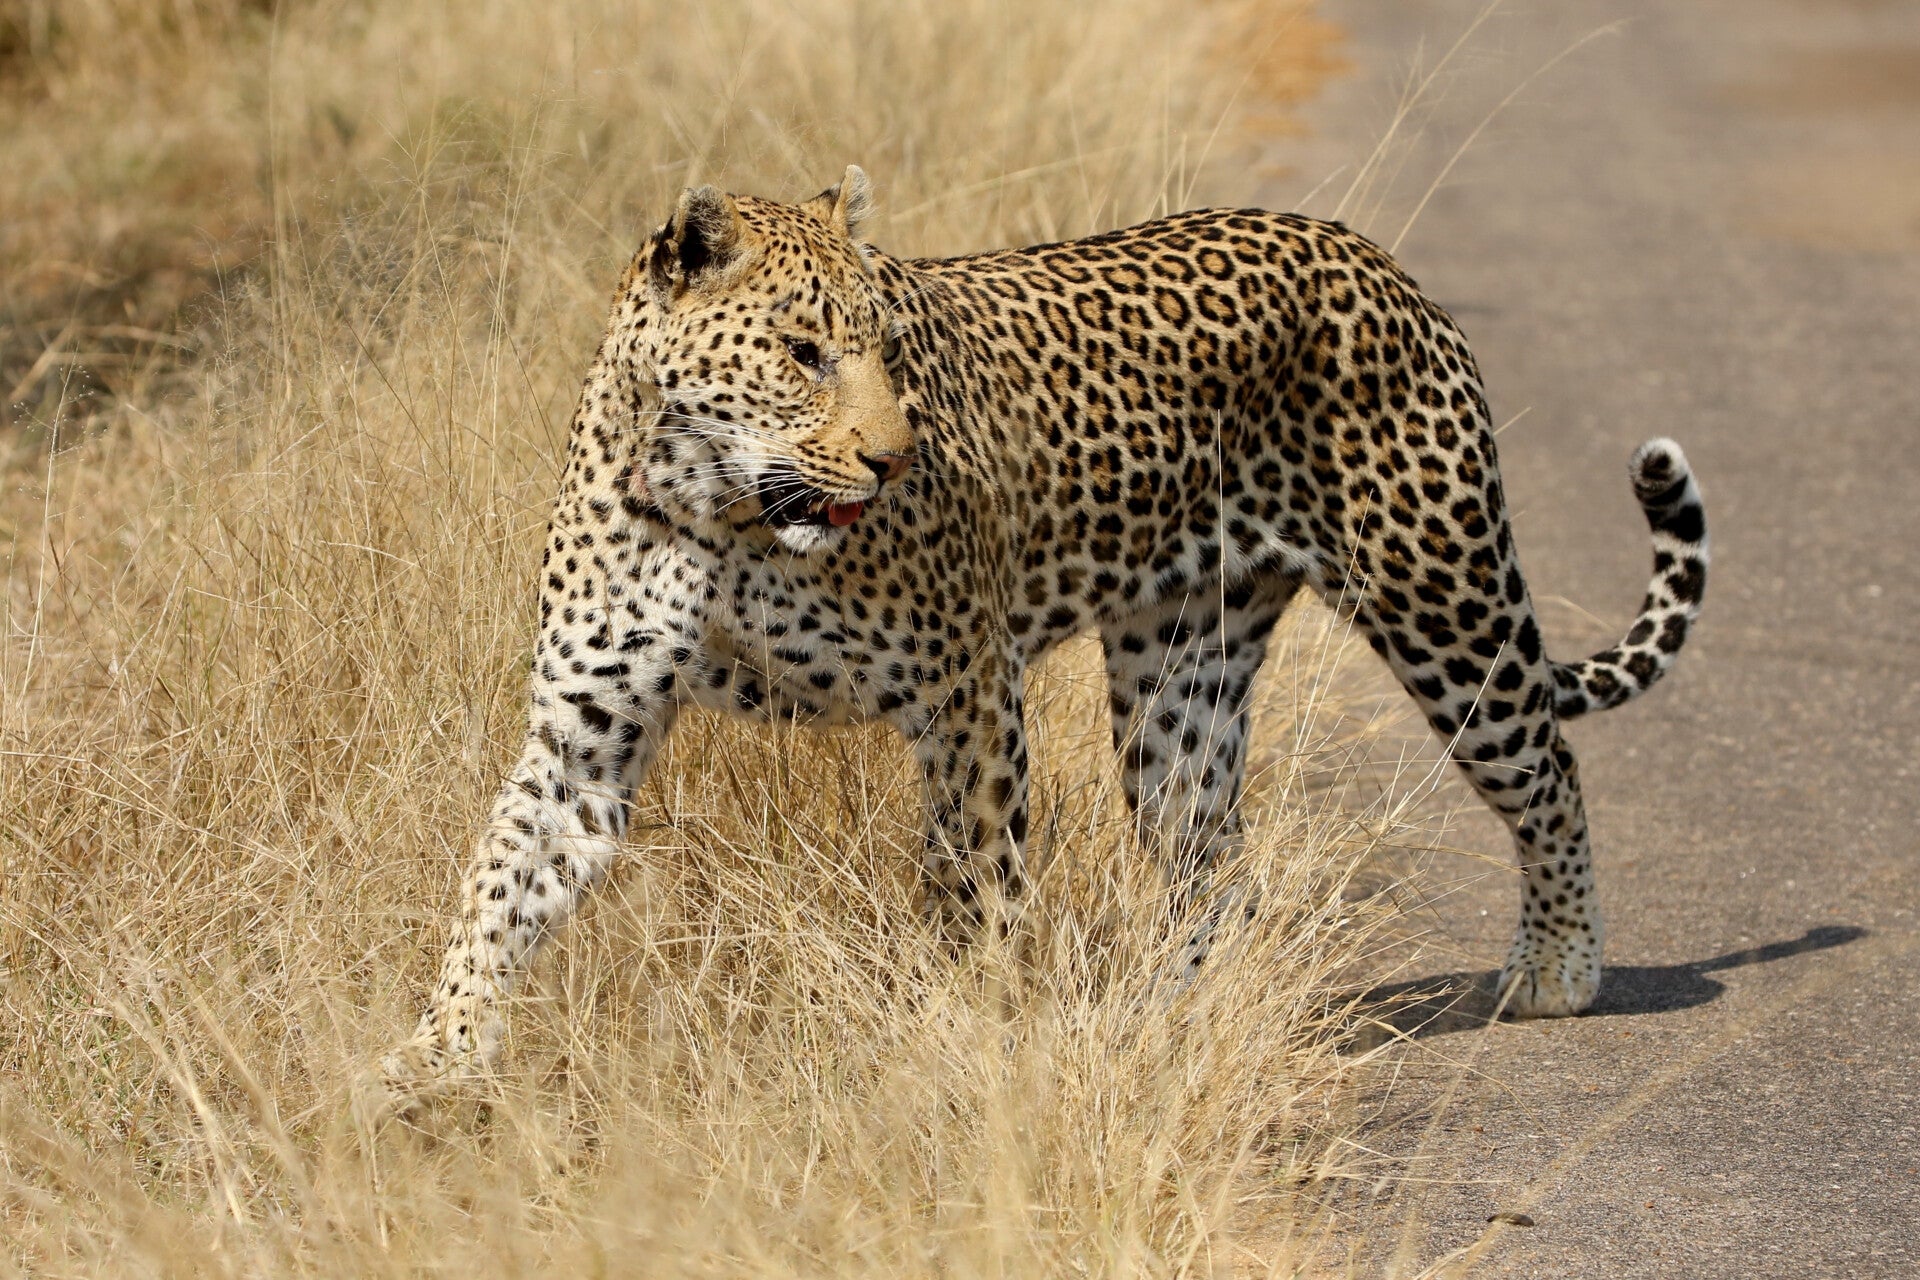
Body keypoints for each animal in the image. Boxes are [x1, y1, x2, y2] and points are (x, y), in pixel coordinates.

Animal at [378, 165, 1709, 1107]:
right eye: (803, 353)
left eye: (885, 348)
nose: (891, 456)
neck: (719, 515)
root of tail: (1369, 253)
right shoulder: (584, 735)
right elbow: (495, 883)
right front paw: (435, 1052)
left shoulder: (968, 690)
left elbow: (971, 888)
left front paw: (962, 1032)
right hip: (1181, 675)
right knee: (1213, 859)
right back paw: (1162, 1016)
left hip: (1440, 591)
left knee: (1547, 766)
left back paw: (1558, 966)